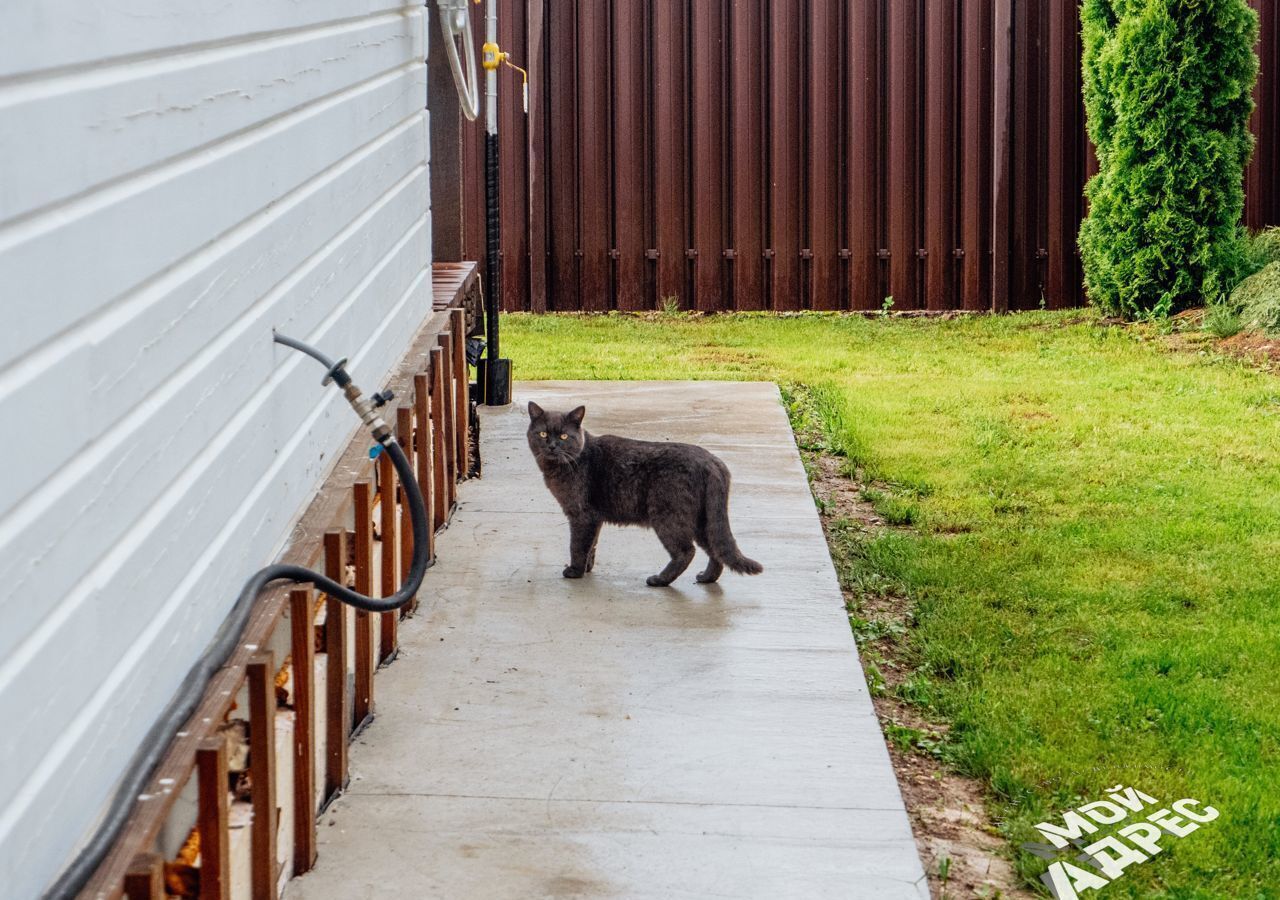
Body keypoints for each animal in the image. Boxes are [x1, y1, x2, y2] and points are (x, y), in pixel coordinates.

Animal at [527, 401, 762, 588]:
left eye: (564, 436)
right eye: (543, 434)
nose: (552, 446)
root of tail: (713, 461)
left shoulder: (581, 516)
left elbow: (577, 545)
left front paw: (575, 571)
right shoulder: (594, 518)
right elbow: (592, 545)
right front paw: (587, 568)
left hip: (668, 517)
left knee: (686, 552)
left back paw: (659, 580)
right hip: (704, 520)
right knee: (715, 549)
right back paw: (706, 578)